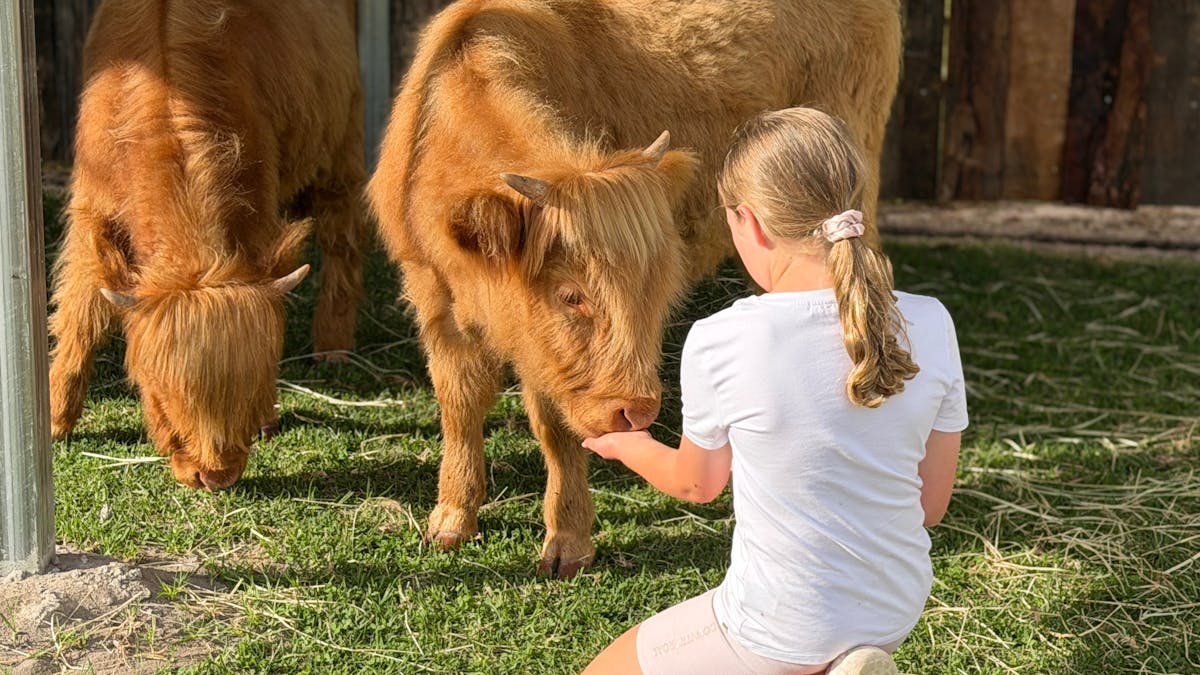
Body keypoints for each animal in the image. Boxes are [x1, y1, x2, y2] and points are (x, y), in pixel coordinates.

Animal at [47, 0, 367, 491]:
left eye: (254, 387)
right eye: (158, 393)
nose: (215, 476)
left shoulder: (257, 219)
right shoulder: (91, 213)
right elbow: (79, 316)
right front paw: (54, 419)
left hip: (342, 142)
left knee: (341, 239)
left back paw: (332, 347)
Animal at [368, 0, 901, 577]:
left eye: (657, 292)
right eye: (571, 295)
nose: (636, 412)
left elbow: (555, 428)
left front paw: (568, 542)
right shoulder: (435, 301)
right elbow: (459, 405)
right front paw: (451, 519)